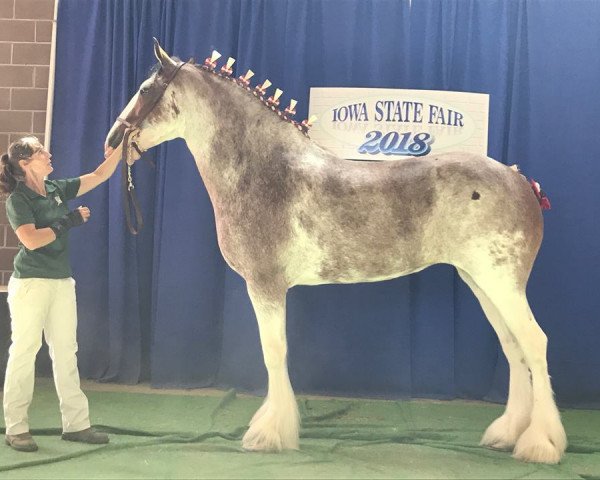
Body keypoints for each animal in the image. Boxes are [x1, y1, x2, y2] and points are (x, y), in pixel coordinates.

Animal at [104, 41, 568, 464]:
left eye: (145, 89)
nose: (112, 139)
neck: (264, 170)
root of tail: (520, 181)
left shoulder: (266, 286)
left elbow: (273, 352)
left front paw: (269, 434)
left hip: (500, 281)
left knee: (535, 342)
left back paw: (541, 444)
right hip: (481, 281)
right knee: (513, 346)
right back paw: (507, 434)